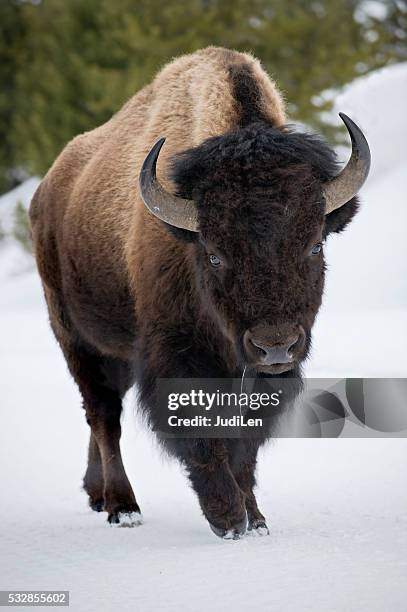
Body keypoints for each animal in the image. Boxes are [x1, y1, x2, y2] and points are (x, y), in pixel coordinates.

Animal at [30, 46, 372, 536]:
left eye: (314, 245)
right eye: (213, 254)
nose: (274, 347)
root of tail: (45, 192)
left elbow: (245, 444)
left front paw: (256, 519)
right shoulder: (176, 354)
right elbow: (200, 433)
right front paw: (227, 517)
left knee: (101, 416)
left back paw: (97, 496)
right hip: (77, 340)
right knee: (104, 415)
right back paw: (122, 507)